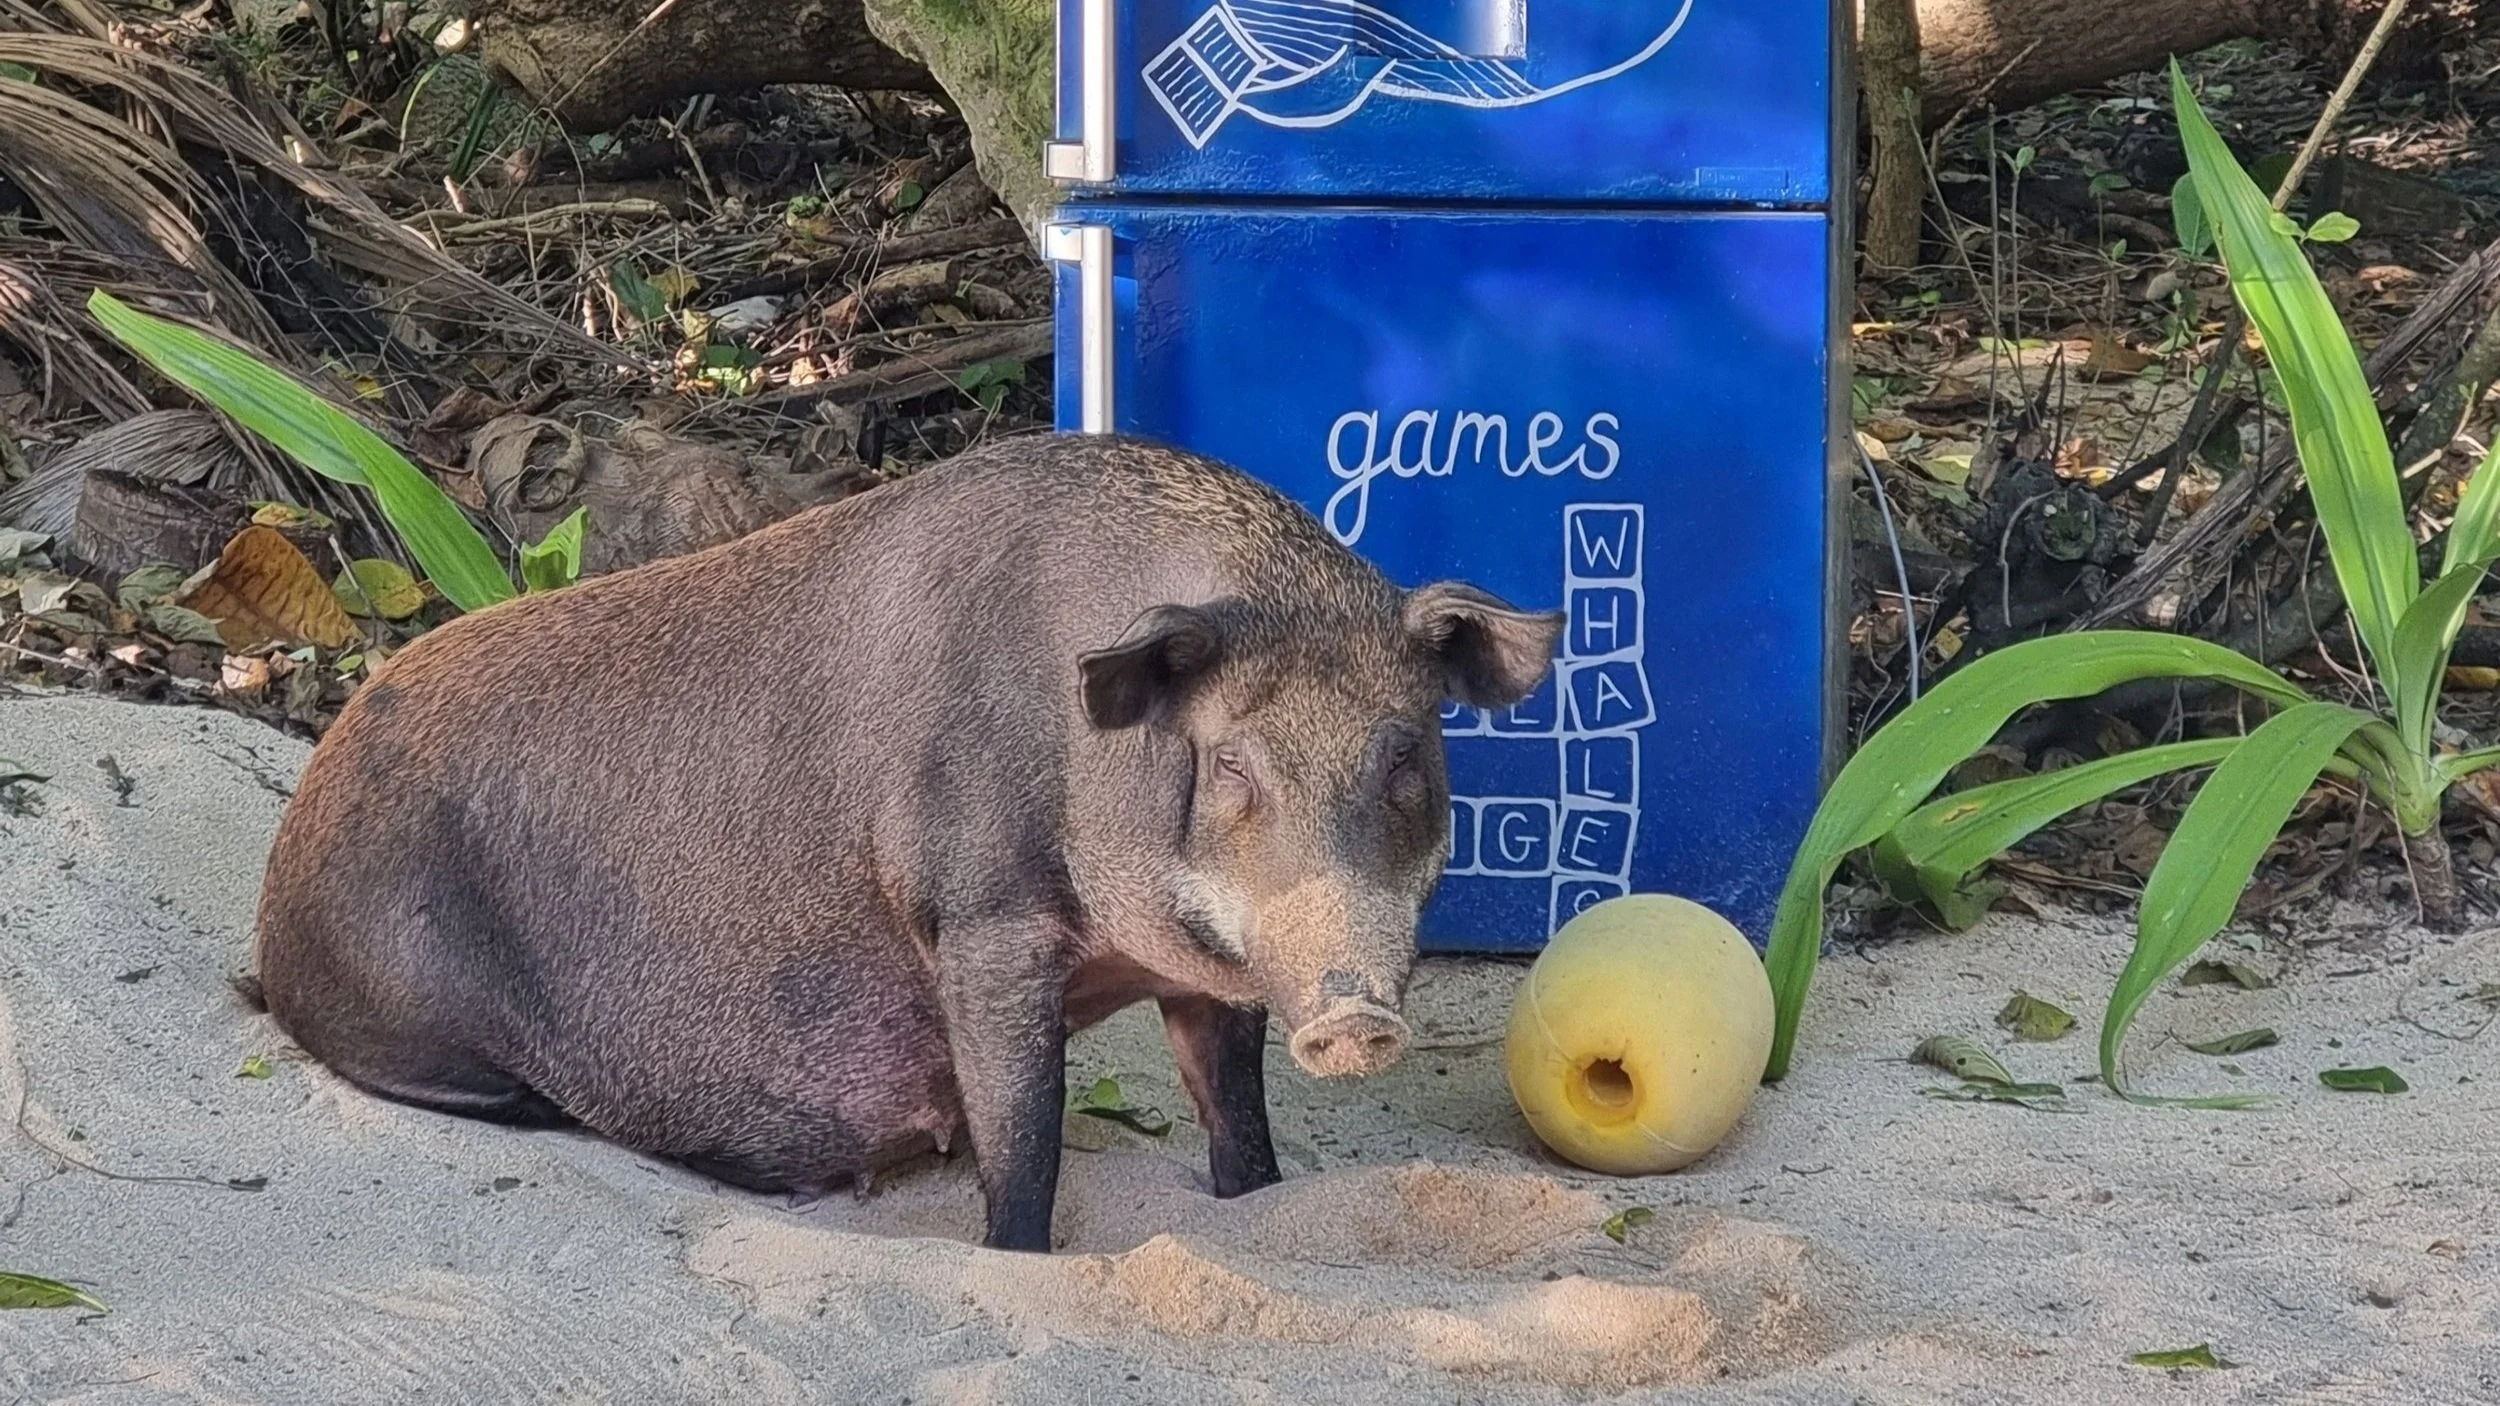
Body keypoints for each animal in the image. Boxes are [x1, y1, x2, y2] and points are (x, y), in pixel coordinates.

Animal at [248, 434, 1562, 1252]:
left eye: (1405, 757)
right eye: (1233, 762)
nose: (1356, 1017)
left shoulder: (1208, 969)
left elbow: (1233, 1109)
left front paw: (1253, 1194)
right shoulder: (980, 916)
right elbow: (1022, 1131)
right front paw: (1018, 1252)